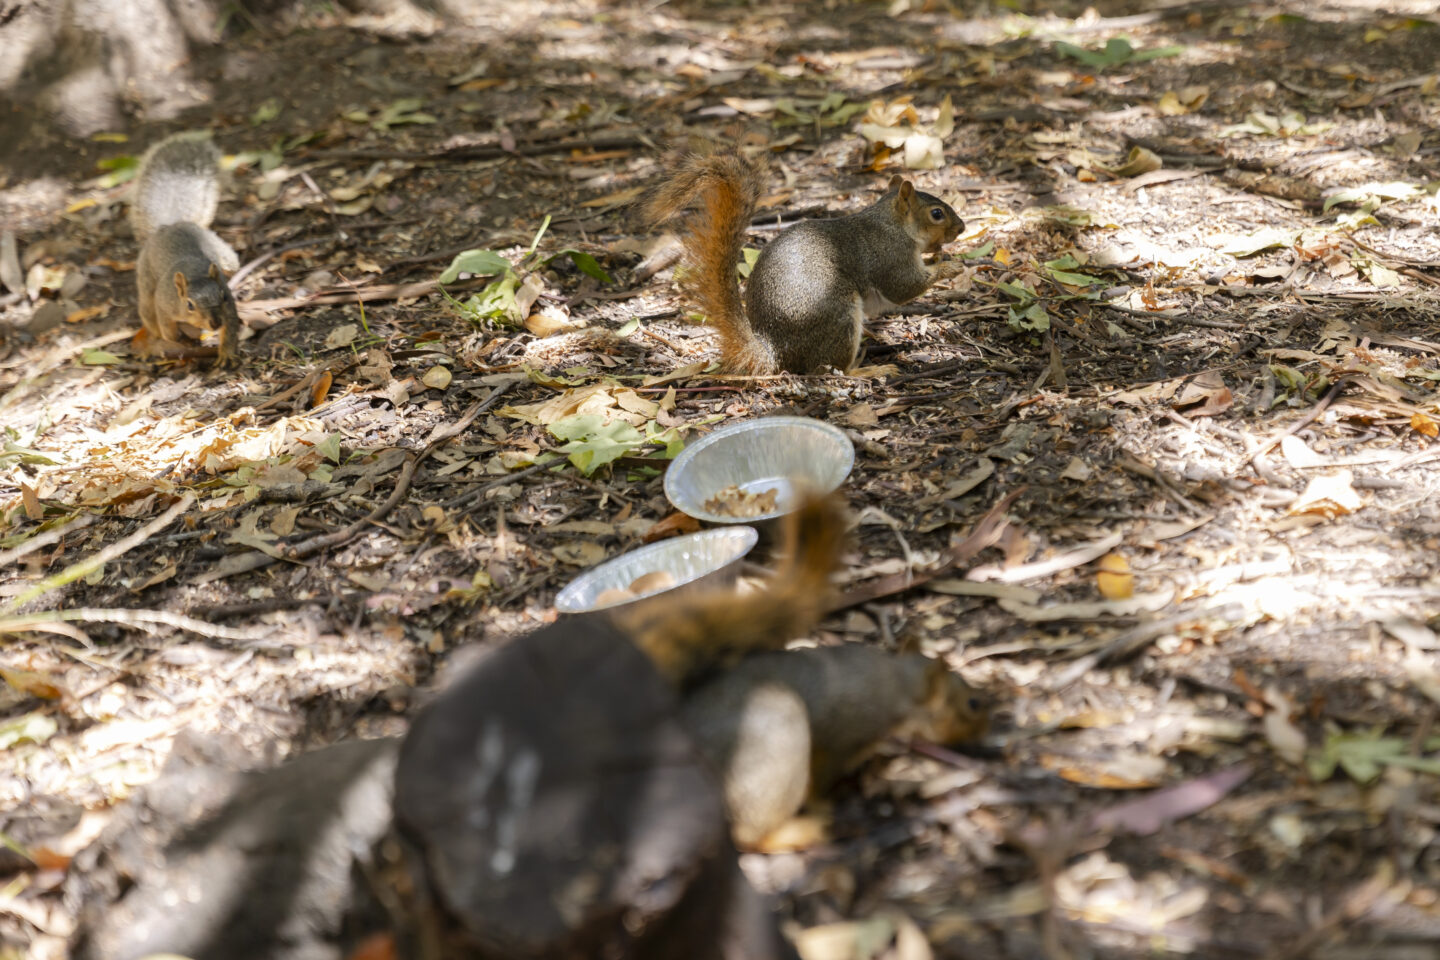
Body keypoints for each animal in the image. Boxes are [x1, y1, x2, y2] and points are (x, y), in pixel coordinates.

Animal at [129, 132, 242, 366]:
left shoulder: (229, 309)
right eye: (189, 305)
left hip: (227, 259)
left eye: (223, 297)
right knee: (151, 318)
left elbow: (231, 329)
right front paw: (179, 339)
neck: (194, 273)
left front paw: (226, 354)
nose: (215, 323)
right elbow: (166, 327)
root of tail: (170, 225)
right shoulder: (164, 303)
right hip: (146, 284)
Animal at [609, 493, 989, 848]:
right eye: (972, 704)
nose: (988, 728)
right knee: (751, 834)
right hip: (775, 744)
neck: (896, 683)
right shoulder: (842, 739)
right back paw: (803, 831)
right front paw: (824, 807)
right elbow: (819, 784)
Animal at [644, 150, 966, 375]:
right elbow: (905, 287)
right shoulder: (889, 254)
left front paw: (940, 256)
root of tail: (775, 351)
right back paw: (869, 369)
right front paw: (951, 267)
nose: (962, 229)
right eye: (937, 214)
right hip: (839, 316)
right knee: (830, 371)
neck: (893, 223)